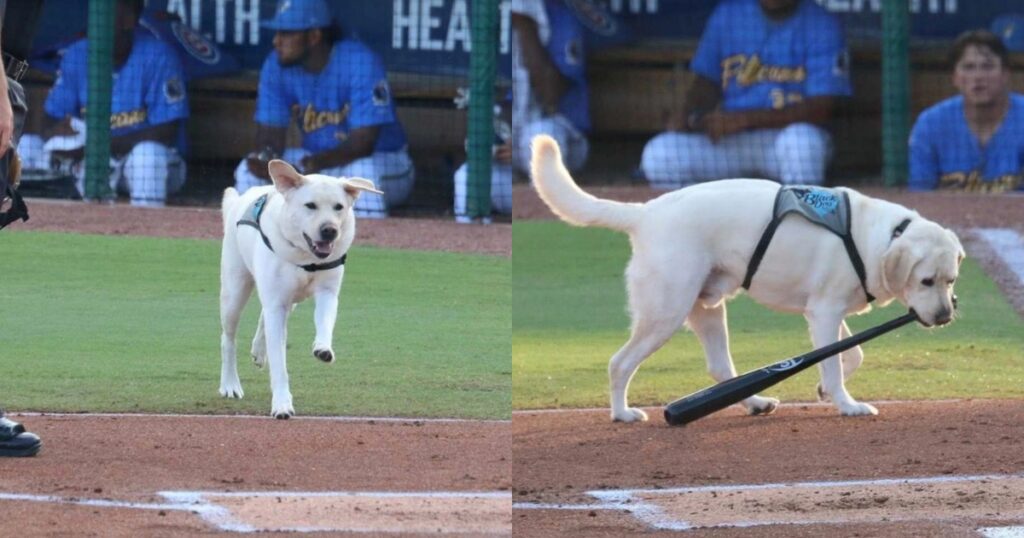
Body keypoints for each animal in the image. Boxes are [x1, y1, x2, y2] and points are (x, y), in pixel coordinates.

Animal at [218, 159, 382, 420]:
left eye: (339, 207)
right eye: (310, 206)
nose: (330, 230)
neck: (306, 257)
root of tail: (240, 199)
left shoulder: (327, 292)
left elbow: (325, 323)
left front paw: (323, 349)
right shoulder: (276, 303)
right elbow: (279, 363)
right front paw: (282, 405)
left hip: (287, 299)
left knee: (264, 317)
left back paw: (258, 352)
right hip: (235, 290)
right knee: (228, 339)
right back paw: (230, 384)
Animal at [532, 134, 962, 424]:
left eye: (951, 280)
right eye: (926, 281)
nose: (945, 317)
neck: (885, 235)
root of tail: (646, 212)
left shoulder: (824, 312)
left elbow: (850, 355)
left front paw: (825, 389)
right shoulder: (824, 312)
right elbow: (835, 362)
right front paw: (846, 404)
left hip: (706, 308)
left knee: (721, 370)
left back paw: (755, 403)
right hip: (665, 312)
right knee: (619, 363)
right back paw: (622, 413)